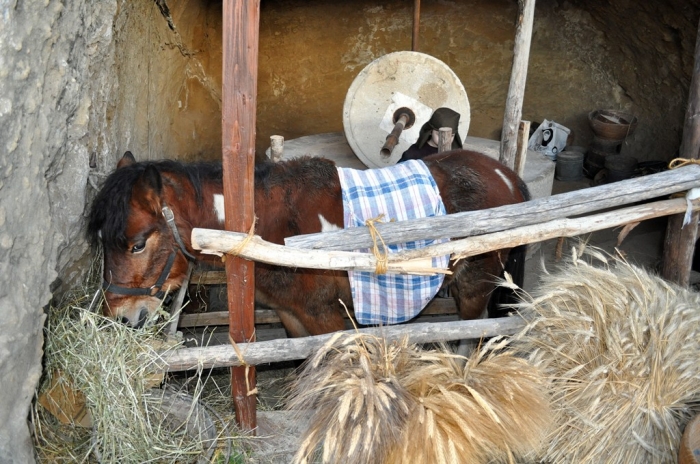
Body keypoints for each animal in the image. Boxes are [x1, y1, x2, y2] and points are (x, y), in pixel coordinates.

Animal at [87, 150, 528, 336]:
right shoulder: (292, 314)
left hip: (474, 288)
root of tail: (506, 174)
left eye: (137, 244)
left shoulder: (325, 315)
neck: (267, 227)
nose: (120, 316)